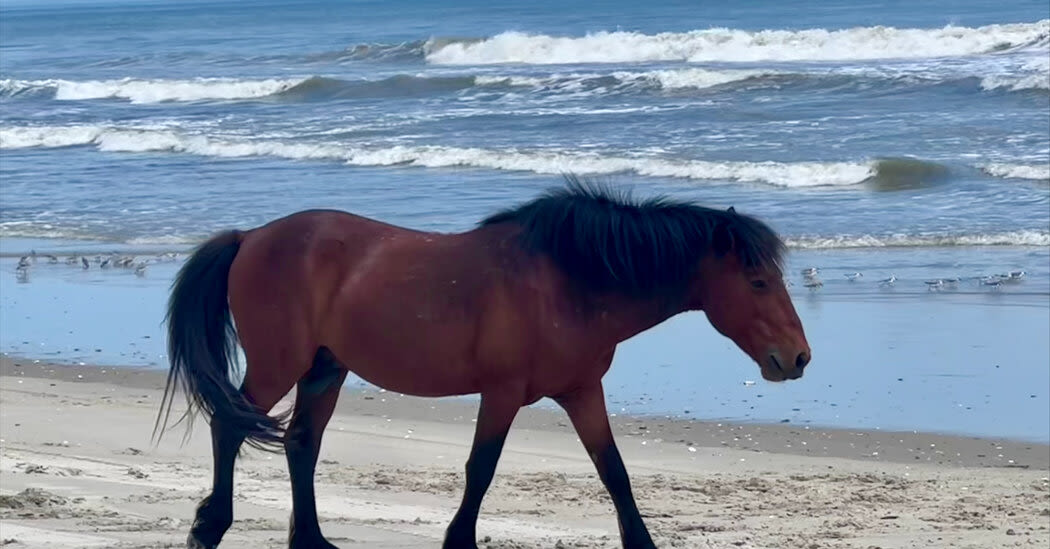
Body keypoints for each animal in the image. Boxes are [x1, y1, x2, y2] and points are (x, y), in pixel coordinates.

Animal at [157, 178, 810, 545]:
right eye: (757, 282)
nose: (797, 358)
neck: (568, 283)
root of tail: (251, 237)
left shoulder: (582, 393)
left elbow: (615, 474)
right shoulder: (501, 394)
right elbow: (481, 470)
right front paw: (459, 540)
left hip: (325, 369)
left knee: (300, 445)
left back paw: (312, 541)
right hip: (279, 364)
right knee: (231, 427)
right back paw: (209, 527)